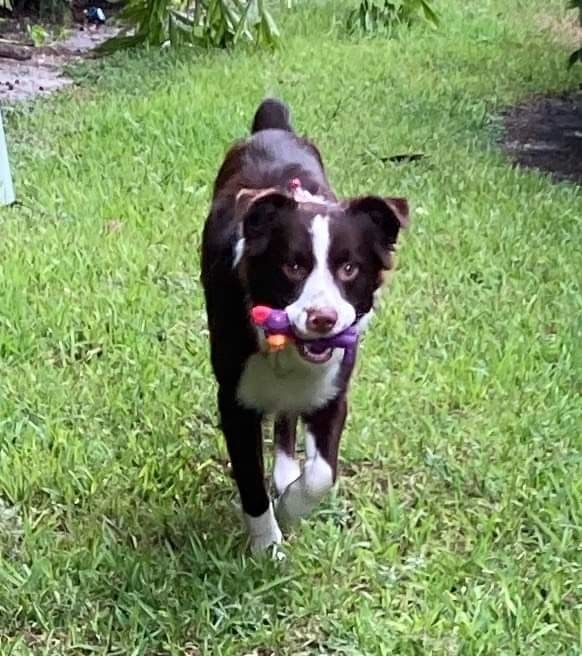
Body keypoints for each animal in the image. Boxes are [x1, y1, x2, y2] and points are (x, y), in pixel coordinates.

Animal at [202, 98, 410, 552]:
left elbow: (321, 474)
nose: (323, 318)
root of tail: (273, 127)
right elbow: (251, 482)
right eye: (293, 266)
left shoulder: (333, 389)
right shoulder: (234, 400)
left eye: (349, 268)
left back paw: (285, 473)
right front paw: (268, 546)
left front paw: (291, 505)